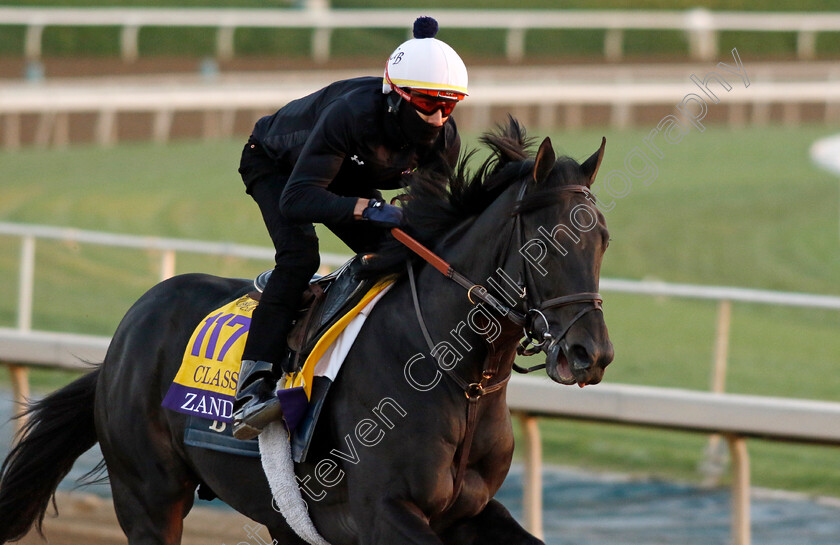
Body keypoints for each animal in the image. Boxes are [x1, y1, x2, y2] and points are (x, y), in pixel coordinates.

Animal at [3, 120, 612, 544]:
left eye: (602, 238)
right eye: (548, 240)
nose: (592, 353)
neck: (454, 376)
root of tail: (126, 333)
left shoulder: (471, 510)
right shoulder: (382, 513)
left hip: (278, 516)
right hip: (148, 496)